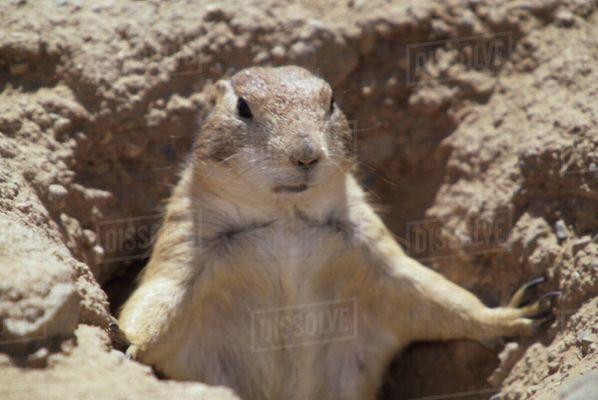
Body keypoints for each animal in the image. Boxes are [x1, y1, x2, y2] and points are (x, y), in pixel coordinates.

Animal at [117, 65, 556, 400]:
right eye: (242, 107)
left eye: (331, 103)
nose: (306, 154)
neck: (285, 219)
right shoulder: (187, 240)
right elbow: (156, 300)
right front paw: (125, 344)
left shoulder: (367, 242)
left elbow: (430, 291)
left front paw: (517, 312)